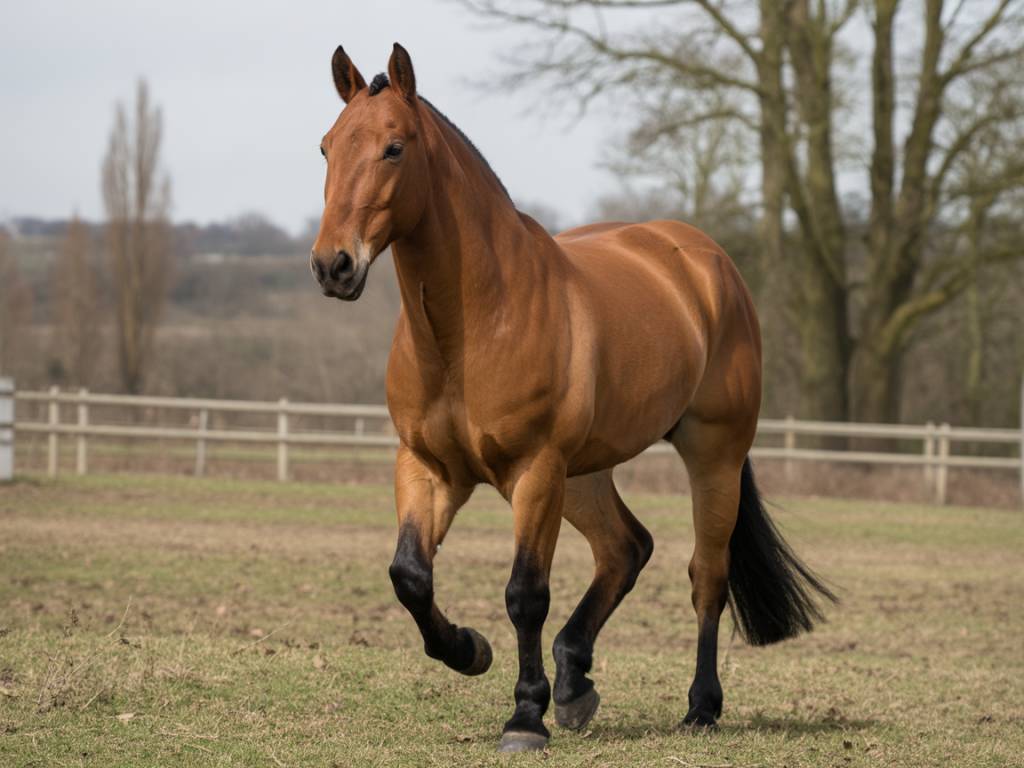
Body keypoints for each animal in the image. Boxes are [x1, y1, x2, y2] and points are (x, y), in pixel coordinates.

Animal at [310, 43, 836, 753]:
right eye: (327, 148)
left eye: (393, 148)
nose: (332, 265)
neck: (473, 325)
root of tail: (705, 263)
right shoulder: (429, 467)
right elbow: (410, 576)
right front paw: (470, 650)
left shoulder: (534, 471)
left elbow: (525, 593)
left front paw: (524, 717)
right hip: (585, 474)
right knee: (626, 548)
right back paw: (574, 679)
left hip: (709, 457)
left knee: (706, 575)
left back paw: (699, 705)